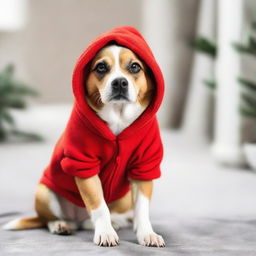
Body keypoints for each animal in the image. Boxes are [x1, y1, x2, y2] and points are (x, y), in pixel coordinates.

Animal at [3, 27, 165, 248]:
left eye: (134, 67)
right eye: (101, 67)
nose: (120, 82)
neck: (118, 119)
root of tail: (79, 220)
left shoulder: (144, 168)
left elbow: (141, 209)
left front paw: (147, 233)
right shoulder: (84, 165)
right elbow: (99, 205)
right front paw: (105, 232)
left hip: (123, 198)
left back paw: (116, 221)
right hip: (44, 191)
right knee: (49, 219)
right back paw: (60, 225)